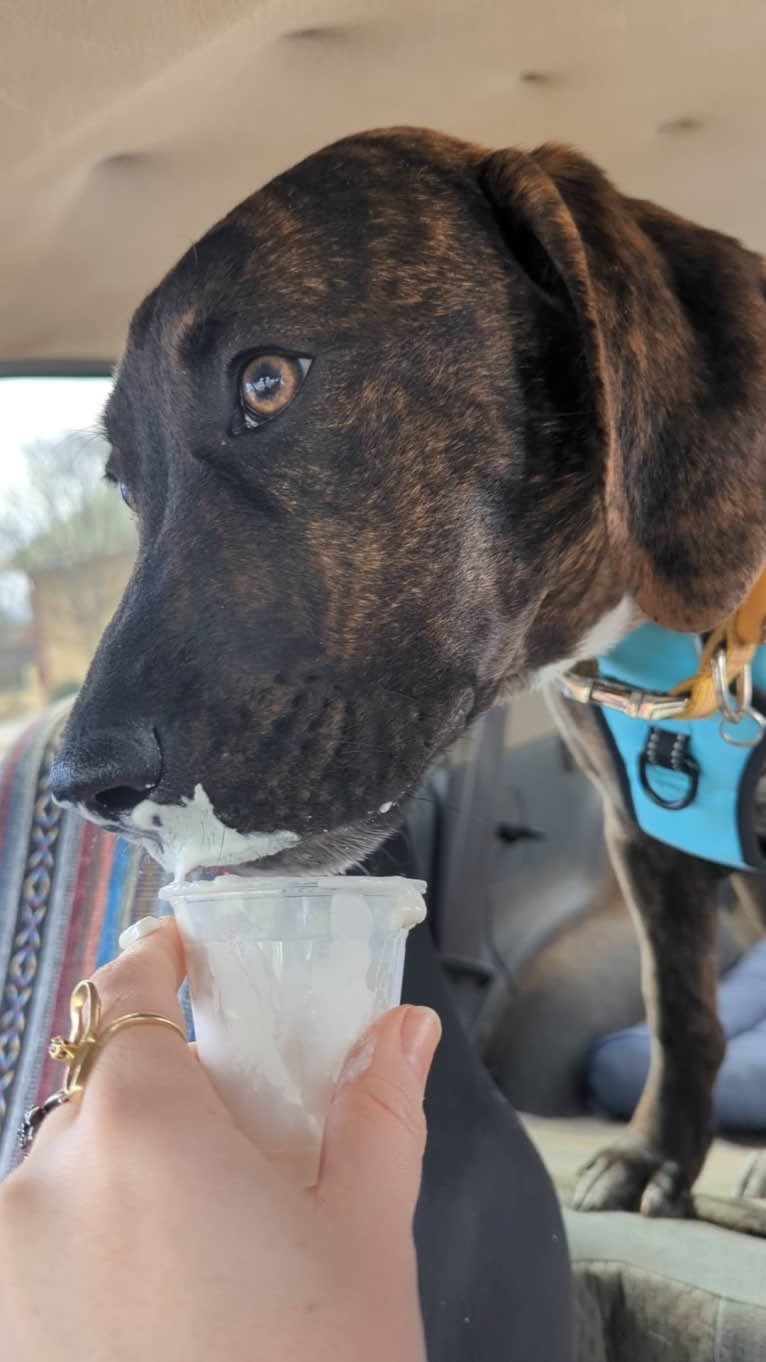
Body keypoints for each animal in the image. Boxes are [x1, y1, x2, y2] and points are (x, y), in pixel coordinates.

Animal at [50, 128, 763, 1214]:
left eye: (267, 382)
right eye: (125, 486)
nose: (80, 785)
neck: (688, 645)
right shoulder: (644, 839)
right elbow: (678, 1007)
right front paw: (654, 1156)